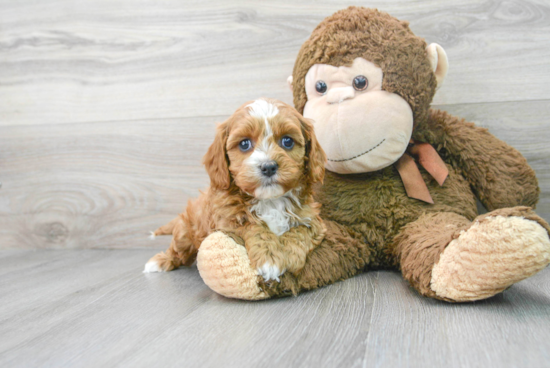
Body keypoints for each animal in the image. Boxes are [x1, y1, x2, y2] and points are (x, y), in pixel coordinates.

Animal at [146, 98, 328, 282]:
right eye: (244, 144)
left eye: (288, 141)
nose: (268, 167)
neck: (270, 200)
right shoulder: (227, 222)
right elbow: (256, 229)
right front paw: (269, 260)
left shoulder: (313, 219)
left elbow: (300, 232)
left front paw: (290, 256)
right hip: (185, 231)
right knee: (178, 250)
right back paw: (159, 261)